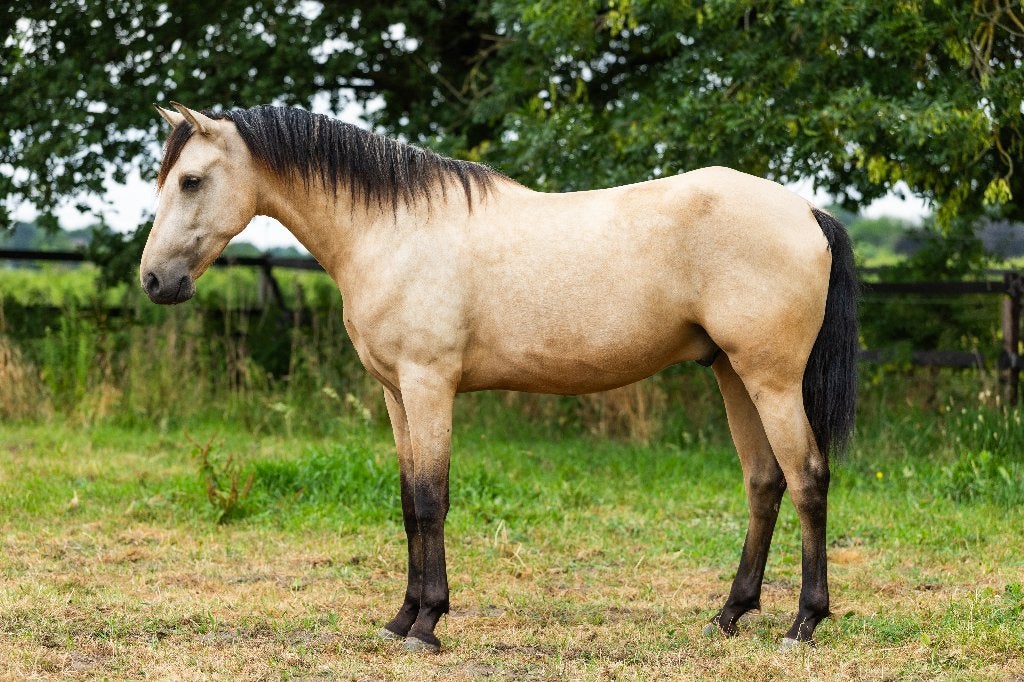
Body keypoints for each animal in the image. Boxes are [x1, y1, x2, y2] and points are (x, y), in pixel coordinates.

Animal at [142, 102, 858, 654]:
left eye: (192, 181)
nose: (154, 281)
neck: (391, 231)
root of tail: (806, 212)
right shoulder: (396, 395)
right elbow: (408, 503)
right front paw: (401, 618)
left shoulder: (429, 387)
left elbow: (432, 500)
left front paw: (427, 625)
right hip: (733, 375)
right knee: (764, 483)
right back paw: (729, 615)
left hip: (771, 380)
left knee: (807, 479)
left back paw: (803, 624)